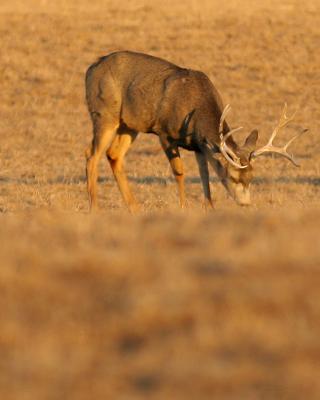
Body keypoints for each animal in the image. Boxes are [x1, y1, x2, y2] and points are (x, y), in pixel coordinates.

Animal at [85, 50, 308, 212]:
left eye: (251, 178)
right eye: (233, 177)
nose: (245, 204)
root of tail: (90, 68)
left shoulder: (199, 145)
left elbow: (204, 175)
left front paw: (210, 207)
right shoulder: (164, 133)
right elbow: (179, 172)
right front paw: (183, 207)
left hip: (129, 125)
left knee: (113, 155)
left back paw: (134, 208)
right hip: (104, 113)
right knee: (91, 154)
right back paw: (95, 208)